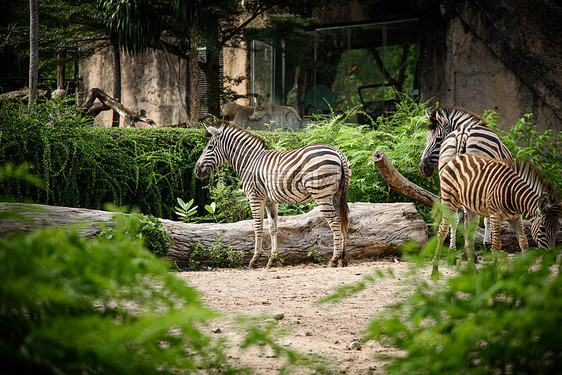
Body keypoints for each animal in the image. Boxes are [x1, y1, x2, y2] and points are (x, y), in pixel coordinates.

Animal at [194, 120, 350, 268]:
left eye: (209, 147)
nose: (196, 171)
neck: (250, 162)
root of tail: (338, 151)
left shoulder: (255, 197)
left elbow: (258, 227)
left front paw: (255, 259)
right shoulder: (271, 201)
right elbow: (273, 228)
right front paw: (272, 259)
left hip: (321, 193)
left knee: (335, 221)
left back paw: (334, 259)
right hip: (336, 195)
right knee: (343, 220)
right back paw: (342, 259)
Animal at [416, 106, 512, 248]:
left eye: (438, 139)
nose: (422, 168)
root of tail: (463, 133)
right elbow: (485, 217)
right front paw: (487, 242)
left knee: (452, 215)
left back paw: (453, 247)